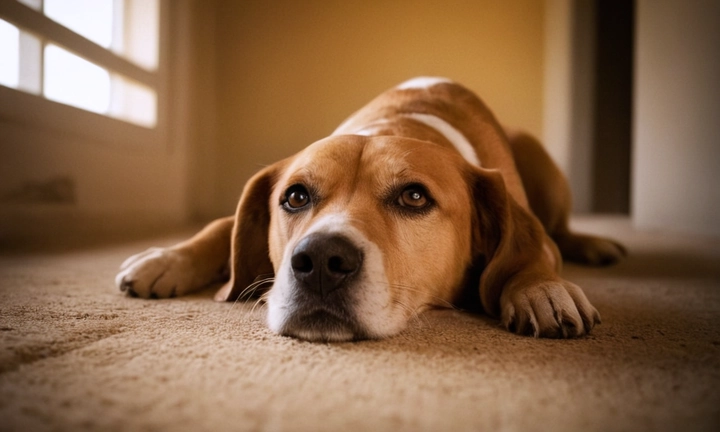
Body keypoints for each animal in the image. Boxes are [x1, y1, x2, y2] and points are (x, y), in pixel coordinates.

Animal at [114, 77, 624, 340]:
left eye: (414, 197)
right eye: (295, 197)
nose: (320, 260)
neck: (395, 125)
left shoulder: (531, 229)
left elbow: (532, 253)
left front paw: (540, 290)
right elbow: (221, 225)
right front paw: (165, 258)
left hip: (537, 157)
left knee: (562, 230)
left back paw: (596, 244)